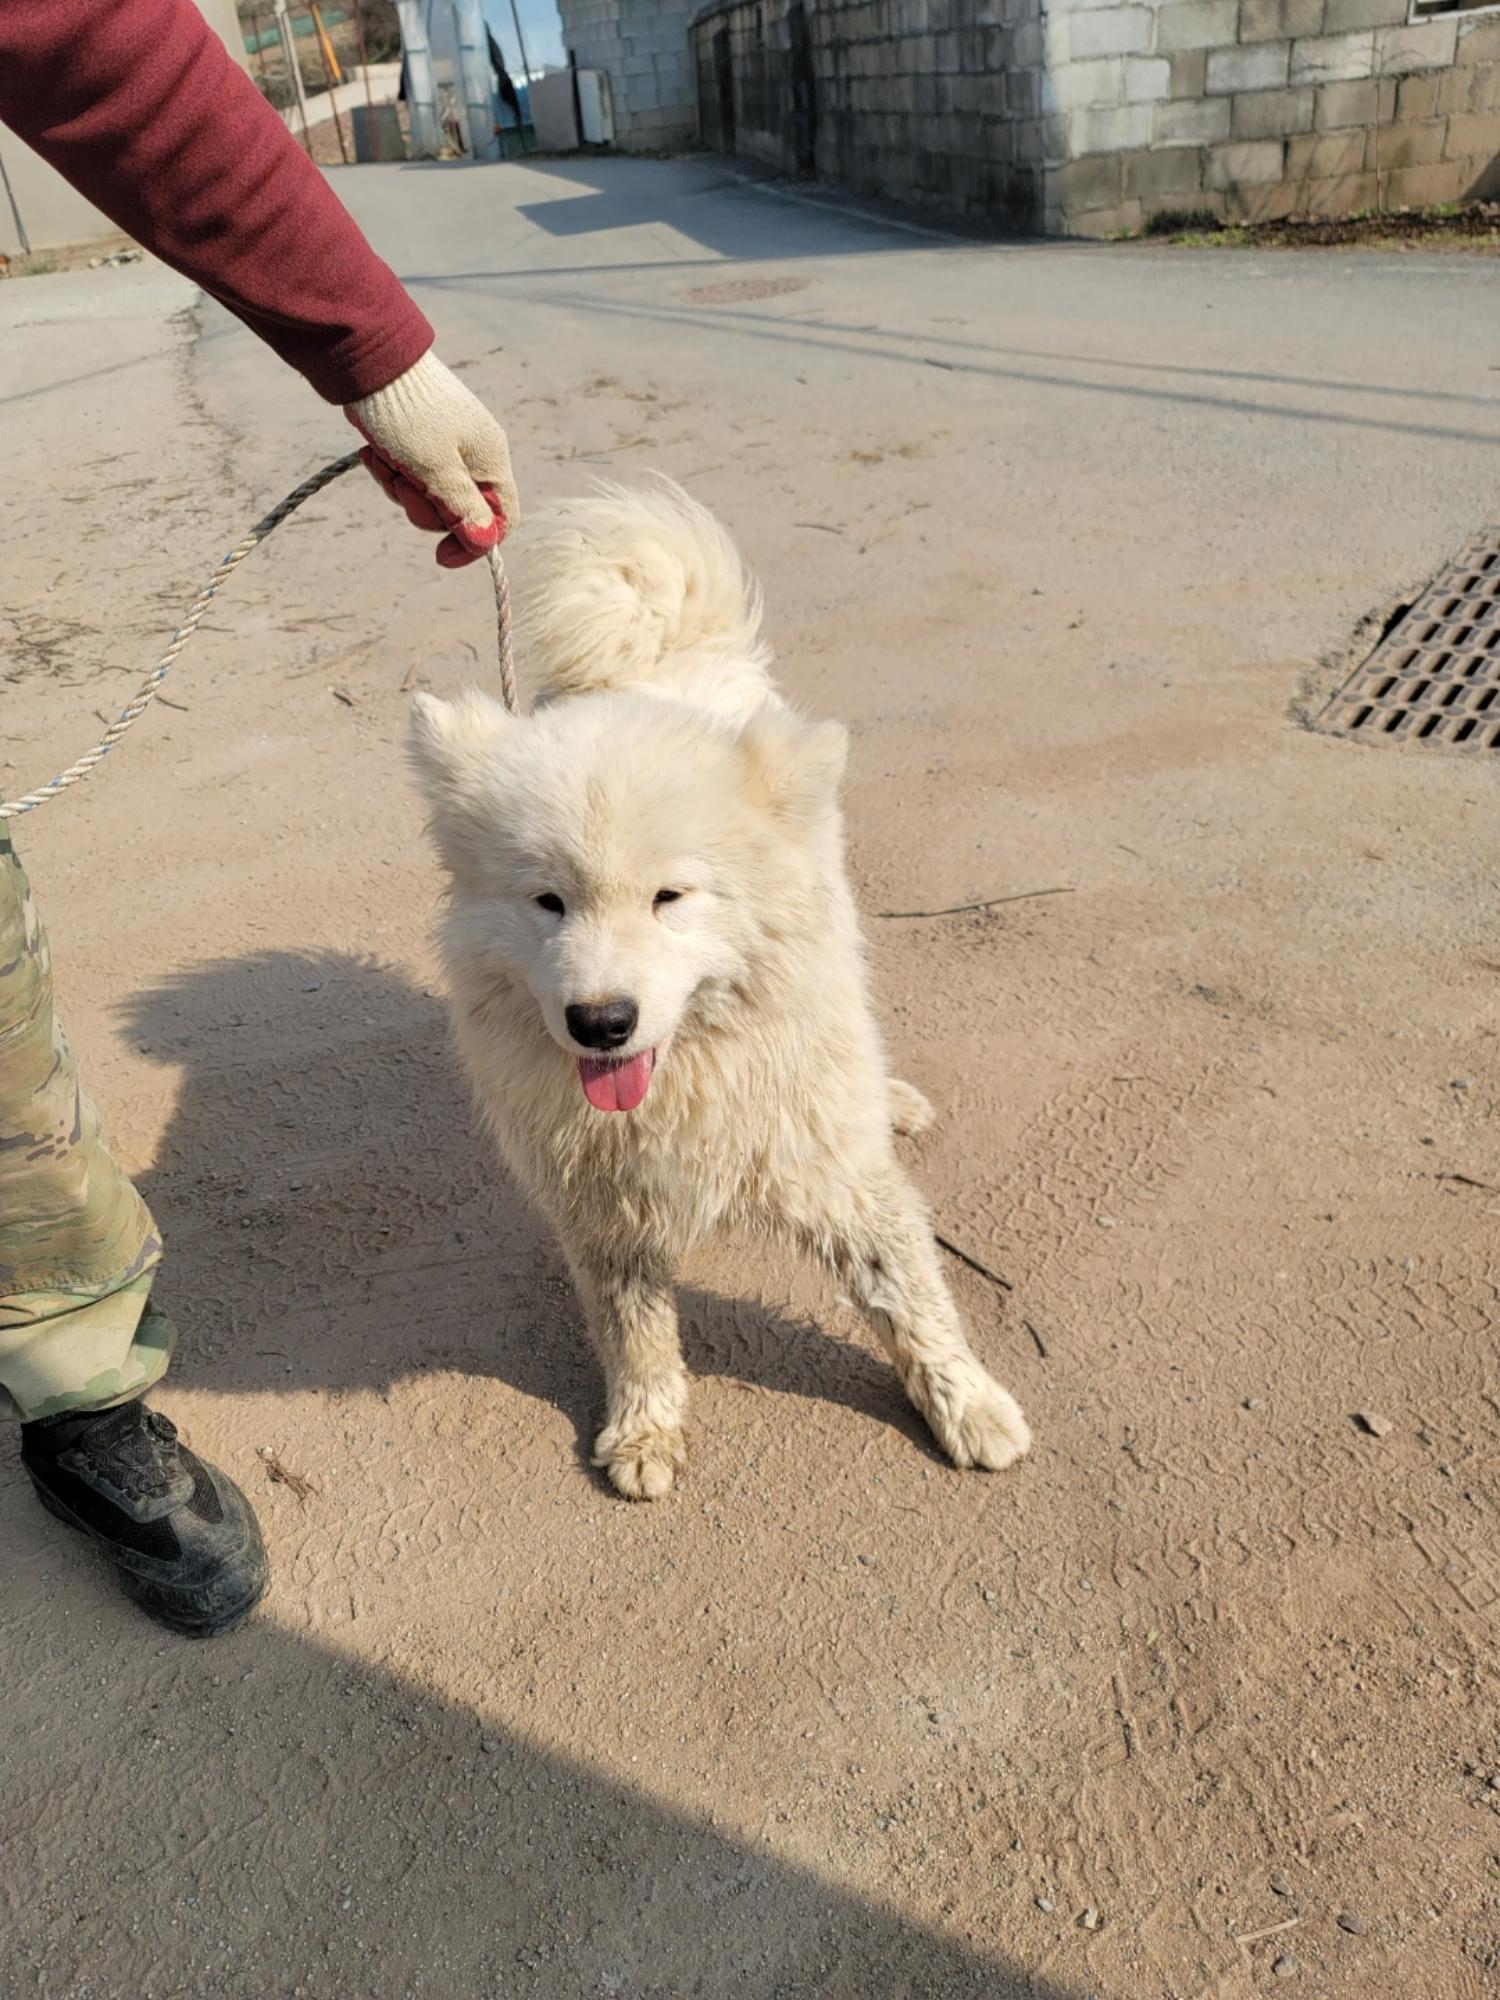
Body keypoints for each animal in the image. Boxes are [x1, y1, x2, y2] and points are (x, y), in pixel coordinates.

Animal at [408, 484, 1032, 1504]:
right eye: (548, 901)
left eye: (671, 897)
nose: (600, 1023)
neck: (687, 1079)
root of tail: (655, 662)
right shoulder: (604, 1213)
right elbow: (634, 1332)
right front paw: (646, 1431)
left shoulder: (837, 1174)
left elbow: (911, 1298)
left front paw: (969, 1407)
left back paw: (893, 1098)